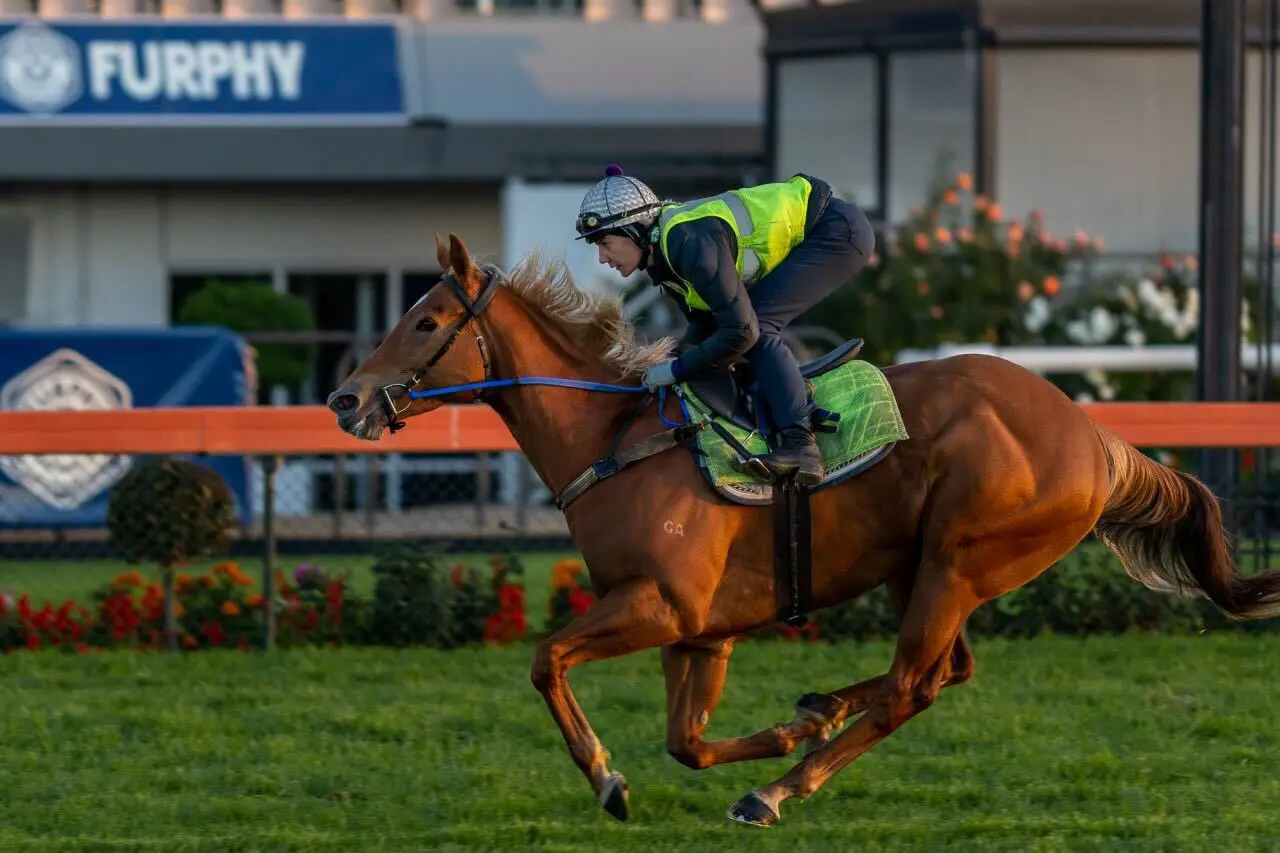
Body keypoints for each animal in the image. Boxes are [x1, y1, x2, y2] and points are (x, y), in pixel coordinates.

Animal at [325, 233, 1274, 824]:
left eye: (426, 321)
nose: (344, 398)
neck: (615, 437)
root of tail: (1092, 434)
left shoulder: (661, 604)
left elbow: (545, 659)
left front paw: (606, 777)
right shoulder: (700, 629)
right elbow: (686, 741)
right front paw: (782, 729)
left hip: (961, 561)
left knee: (912, 686)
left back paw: (780, 789)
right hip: (923, 564)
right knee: (946, 671)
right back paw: (816, 715)